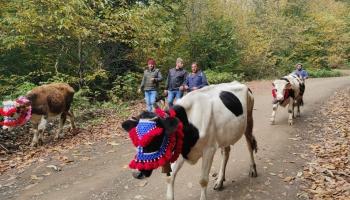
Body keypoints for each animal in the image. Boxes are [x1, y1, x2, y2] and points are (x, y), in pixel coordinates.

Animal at [122, 81, 258, 200]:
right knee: (226, 152)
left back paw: (253, 169)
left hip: (249, 120)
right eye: (134, 139)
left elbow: (203, 180)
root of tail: (240, 83)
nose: (136, 174)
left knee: (249, 144)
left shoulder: (209, 150)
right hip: (225, 134)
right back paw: (220, 181)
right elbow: (170, 177)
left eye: (155, 137)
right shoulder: (181, 149)